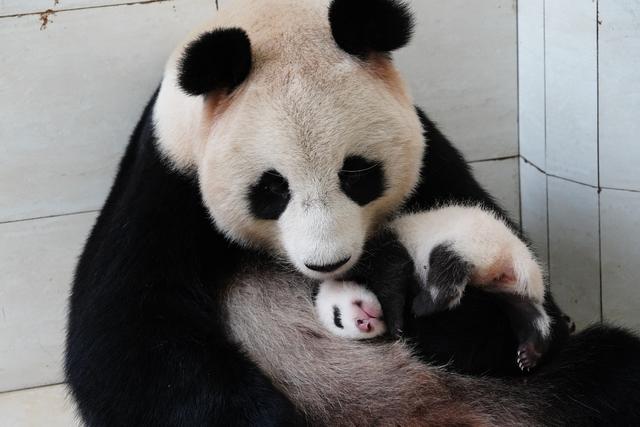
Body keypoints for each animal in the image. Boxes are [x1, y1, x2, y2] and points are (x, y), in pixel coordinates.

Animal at [65, 0, 640, 426]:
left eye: (357, 173)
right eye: (271, 189)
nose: (327, 264)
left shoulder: (434, 163)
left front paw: (432, 319)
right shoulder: (168, 185)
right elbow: (131, 344)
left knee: (607, 370)